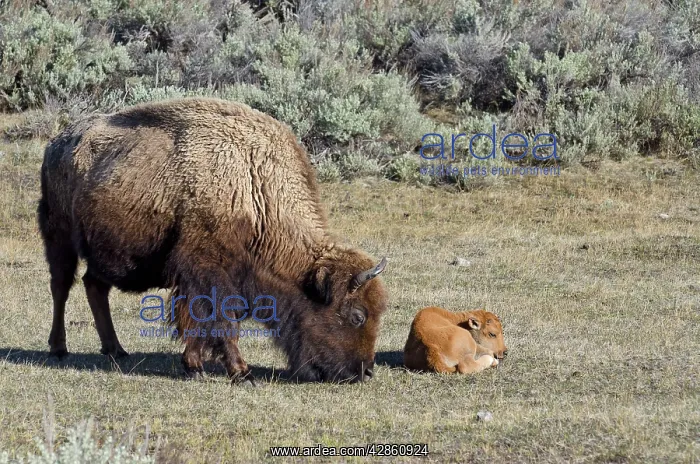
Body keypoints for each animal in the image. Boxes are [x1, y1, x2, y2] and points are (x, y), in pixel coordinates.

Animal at [37, 97, 388, 384]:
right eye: (357, 316)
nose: (366, 371)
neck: (254, 188)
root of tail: (56, 143)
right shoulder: (208, 271)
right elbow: (220, 320)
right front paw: (241, 373)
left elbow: (200, 320)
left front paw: (195, 367)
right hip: (59, 238)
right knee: (61, 287)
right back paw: (58, 348)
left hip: (102, 250)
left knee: (94, 285)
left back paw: (115, 349)